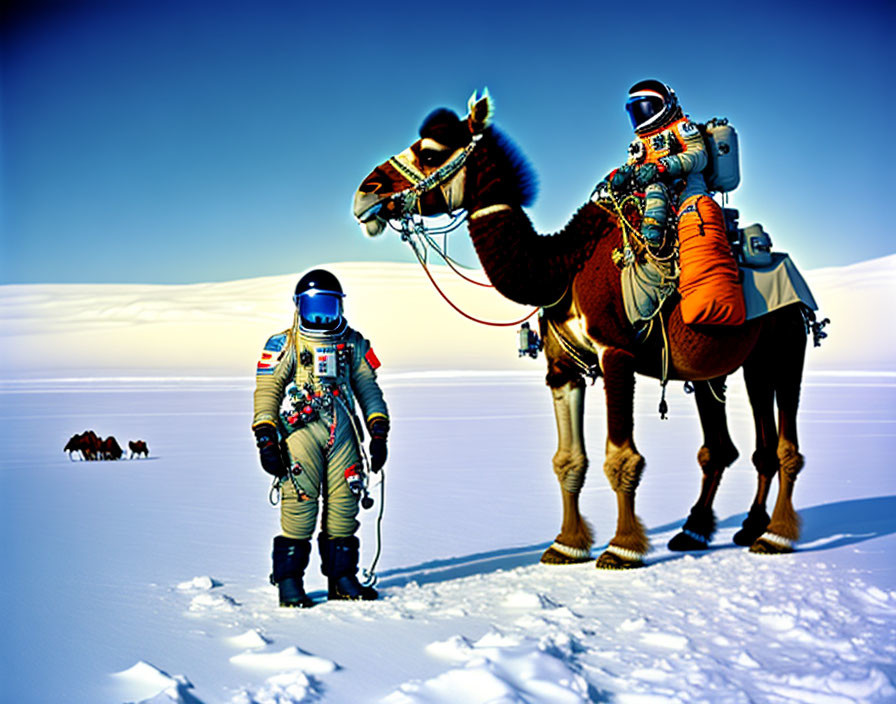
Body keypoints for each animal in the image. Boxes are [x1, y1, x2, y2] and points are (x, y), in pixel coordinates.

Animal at [356, 93, 812, 568]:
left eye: (429, 152)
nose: (365, 192)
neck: (560, 268)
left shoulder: (616, 352)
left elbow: (621, 457)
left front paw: (622, 548)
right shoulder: (563, 368)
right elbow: (568, 460)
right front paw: (566, 544)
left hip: (786, 343)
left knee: (785, 445)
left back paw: (774, 535)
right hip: (726, 368)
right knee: (732, 447)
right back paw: (708, 529)